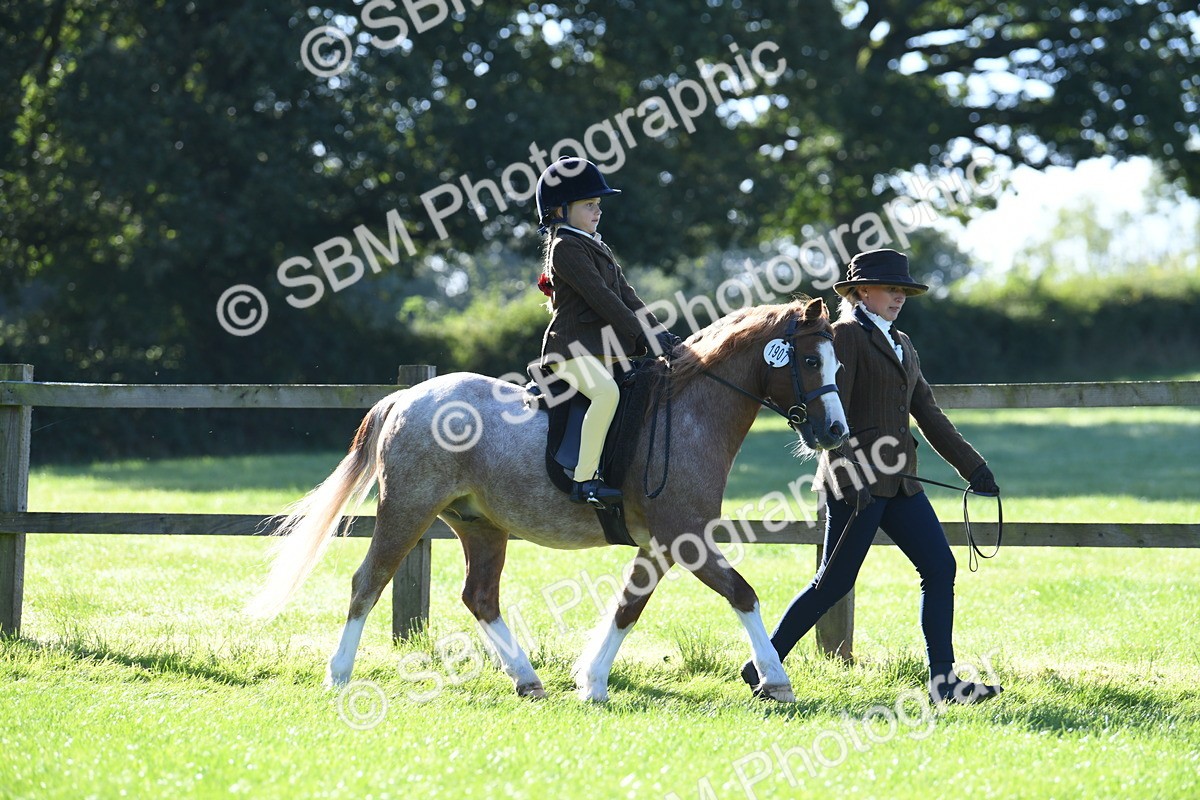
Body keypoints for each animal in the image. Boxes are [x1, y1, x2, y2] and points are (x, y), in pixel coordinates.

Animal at [246, 296, 849, 702]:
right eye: (810, 362)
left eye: (838, 364)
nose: (835, 432)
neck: (688, 409)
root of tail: (407, 397)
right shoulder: (686, 536)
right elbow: (742, 594)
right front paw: (776, 680)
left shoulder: (661, 543)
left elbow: (629, 606)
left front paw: (592, 682)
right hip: (407, 510)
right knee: (367, 582)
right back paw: (338, 676)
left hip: (480, 526)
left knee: (479, 597)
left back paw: (527, 679)